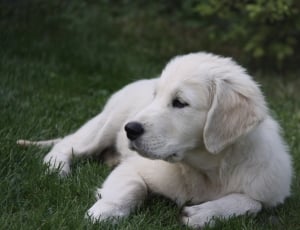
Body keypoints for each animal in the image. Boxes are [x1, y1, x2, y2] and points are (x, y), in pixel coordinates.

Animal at [17, 52, 292, 228]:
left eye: (180, 102)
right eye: (155, 96)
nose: (130, 129)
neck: (205, 170)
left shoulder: (268, 191)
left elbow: (252, 203)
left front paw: (204, 213)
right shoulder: (134, 167)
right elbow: (133, 187)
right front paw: (102, 212)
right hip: (106, 123)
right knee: (66, 145)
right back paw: (57, 169)